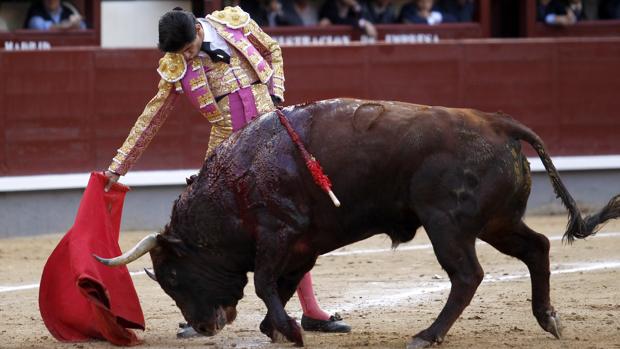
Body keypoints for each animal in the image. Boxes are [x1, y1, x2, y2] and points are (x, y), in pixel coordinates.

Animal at [95, 98, 620, 348]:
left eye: (172, 275)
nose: (203, 326)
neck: (233, 184)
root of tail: (499, 123)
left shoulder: (278, 234)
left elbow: (265, 282)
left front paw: (288, 331)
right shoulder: (299, 246)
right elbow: (280, 285)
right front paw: (279, 328)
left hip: (448, 225)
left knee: (467, 275)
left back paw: (426, 335)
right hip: (496, 222)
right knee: (537, 249)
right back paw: (548, 318)